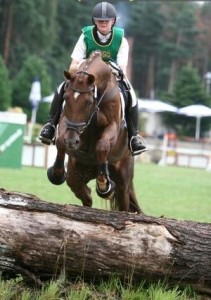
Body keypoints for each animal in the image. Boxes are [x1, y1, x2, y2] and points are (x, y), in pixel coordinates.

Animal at [47, 49, 143, 213]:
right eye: (66, 97)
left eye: (88, 102)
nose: (72, 141)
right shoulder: (67, 120)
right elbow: (60, 140)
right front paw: (56, 173)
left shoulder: (113, 126)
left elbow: (102, 145)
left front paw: (104, 185)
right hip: (76, 173)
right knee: (84, 194)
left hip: (123, 181)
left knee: (123, 203)